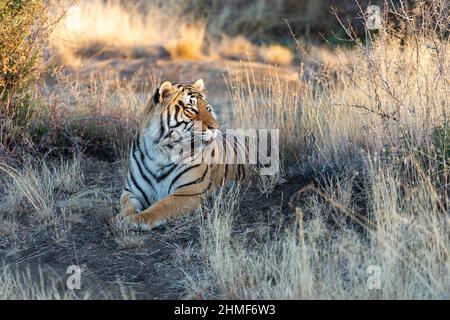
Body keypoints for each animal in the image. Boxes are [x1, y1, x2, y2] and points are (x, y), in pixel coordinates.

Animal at [115, 79, 250, 230]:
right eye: (192, 109)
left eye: (208, 108)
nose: (216, 127)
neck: (160, 153)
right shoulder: (131, 191)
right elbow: (127, 205)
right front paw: (122, 217)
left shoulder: (189, 191)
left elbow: (161, 206)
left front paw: (137, 219)